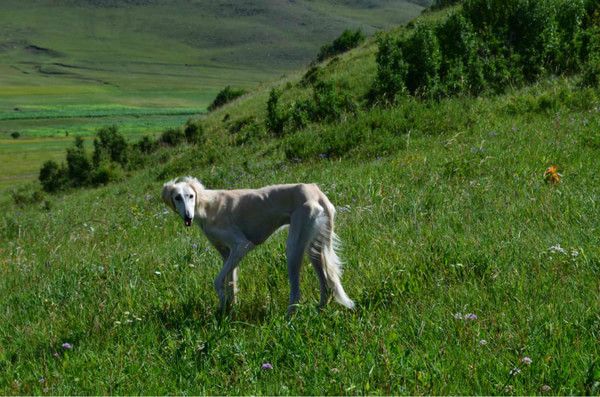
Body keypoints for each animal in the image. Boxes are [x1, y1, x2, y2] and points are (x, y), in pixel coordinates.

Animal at [162, 176, 354, 312]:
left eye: (191, 196)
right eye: (177, 197)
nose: (188, 217)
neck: (206, 205)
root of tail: (316, 191)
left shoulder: (241, 245)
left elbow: (218, 281)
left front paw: (223, 302)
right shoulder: (227, 254)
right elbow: (231, 281)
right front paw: (230, 310)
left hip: (294, 247)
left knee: (296, 293)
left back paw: (289, 318)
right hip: (314, 247)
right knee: (326, 283)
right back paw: (320, 308)